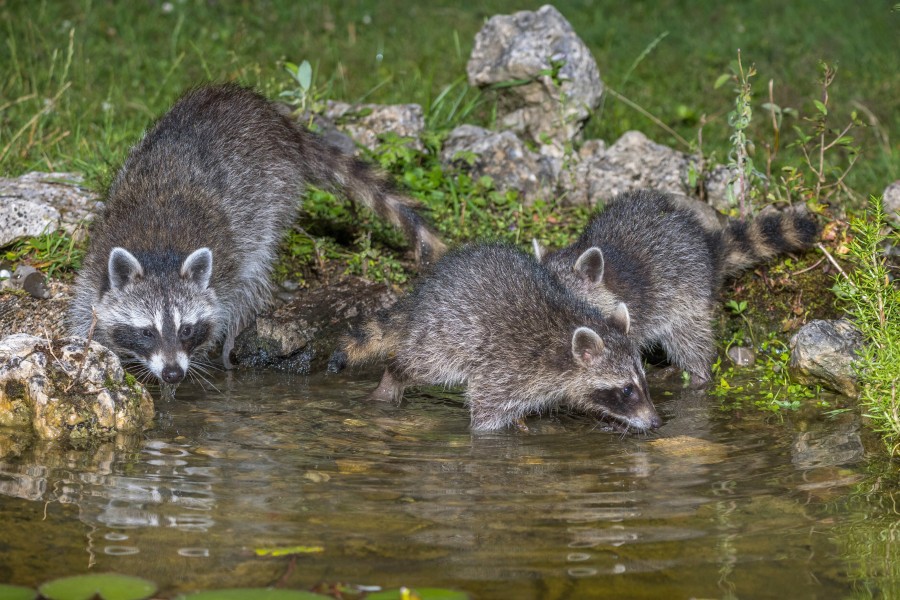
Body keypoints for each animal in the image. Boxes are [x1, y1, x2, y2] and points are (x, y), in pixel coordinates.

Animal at [69, 84, 446, 384]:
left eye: (186, 329)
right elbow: (86, 306)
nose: (173, 373)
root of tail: (273, 116)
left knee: (257, 265)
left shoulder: (224, 267)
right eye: (146, 331)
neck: (160, 255)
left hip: (275, 192)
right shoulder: (100, 252)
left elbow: (230, 296)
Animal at [334, 241, 656, 434]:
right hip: (444, 335)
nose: (657, 421)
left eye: (643, 382)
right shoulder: (507, 370)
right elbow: (485, 415)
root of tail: (423, 292)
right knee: (420, 363)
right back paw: (392, 377)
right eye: (626, 390)